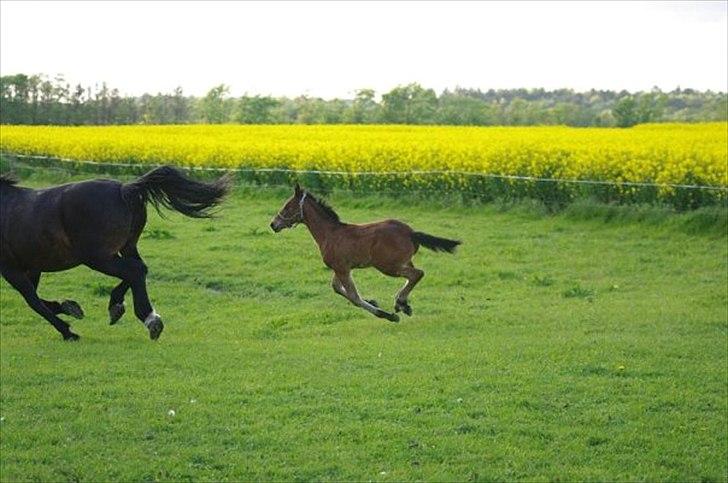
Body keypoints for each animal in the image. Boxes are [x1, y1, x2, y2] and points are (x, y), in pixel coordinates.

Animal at [0, 168, 230, 342]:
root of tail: (124, 188)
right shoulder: (31, 267)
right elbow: (36, 298)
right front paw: (70, 307)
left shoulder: (10, 269)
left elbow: (32, 300)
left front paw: (68, 331)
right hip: (125, 247)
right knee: (140, 269)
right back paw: (120, 308)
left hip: (97, 257)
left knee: (134, 270)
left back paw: (148, 319)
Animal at [270, 185, 458, 326]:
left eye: (287, 207)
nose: (273, 224)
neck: (330, 234)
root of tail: (411, 233)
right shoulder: (341, 269)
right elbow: (337, 288)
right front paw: (374, 301)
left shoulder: (342, 269)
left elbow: (354, 297)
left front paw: (388, 315)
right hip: (402, 262)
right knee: (413, 275)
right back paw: (404, 305)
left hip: (387, 266)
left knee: (418, 273)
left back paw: (400, 302)